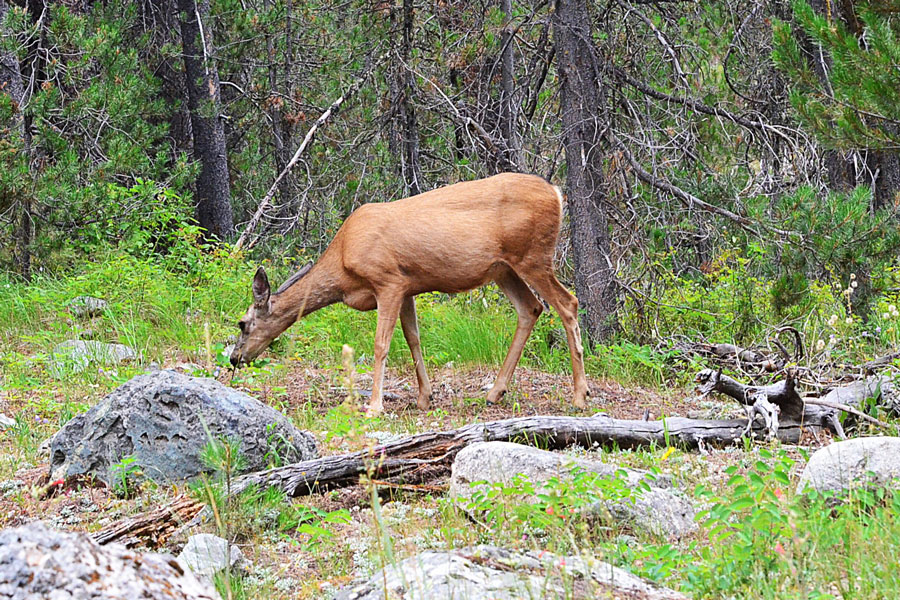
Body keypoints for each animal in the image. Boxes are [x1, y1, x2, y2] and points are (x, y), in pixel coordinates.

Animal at [230, 172, 589, 415]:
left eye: (242, 323)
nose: (235, 359)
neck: (343, 263)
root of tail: (556, 193)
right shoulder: (408, 287)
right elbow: (413, 338)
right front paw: (424, 397)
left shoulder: (387, 281)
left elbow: (381, 344)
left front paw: (374, 406)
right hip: (504, 269)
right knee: (531, 308)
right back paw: (495, 392)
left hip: (533, 256)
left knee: (568, 303)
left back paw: (579, 396)